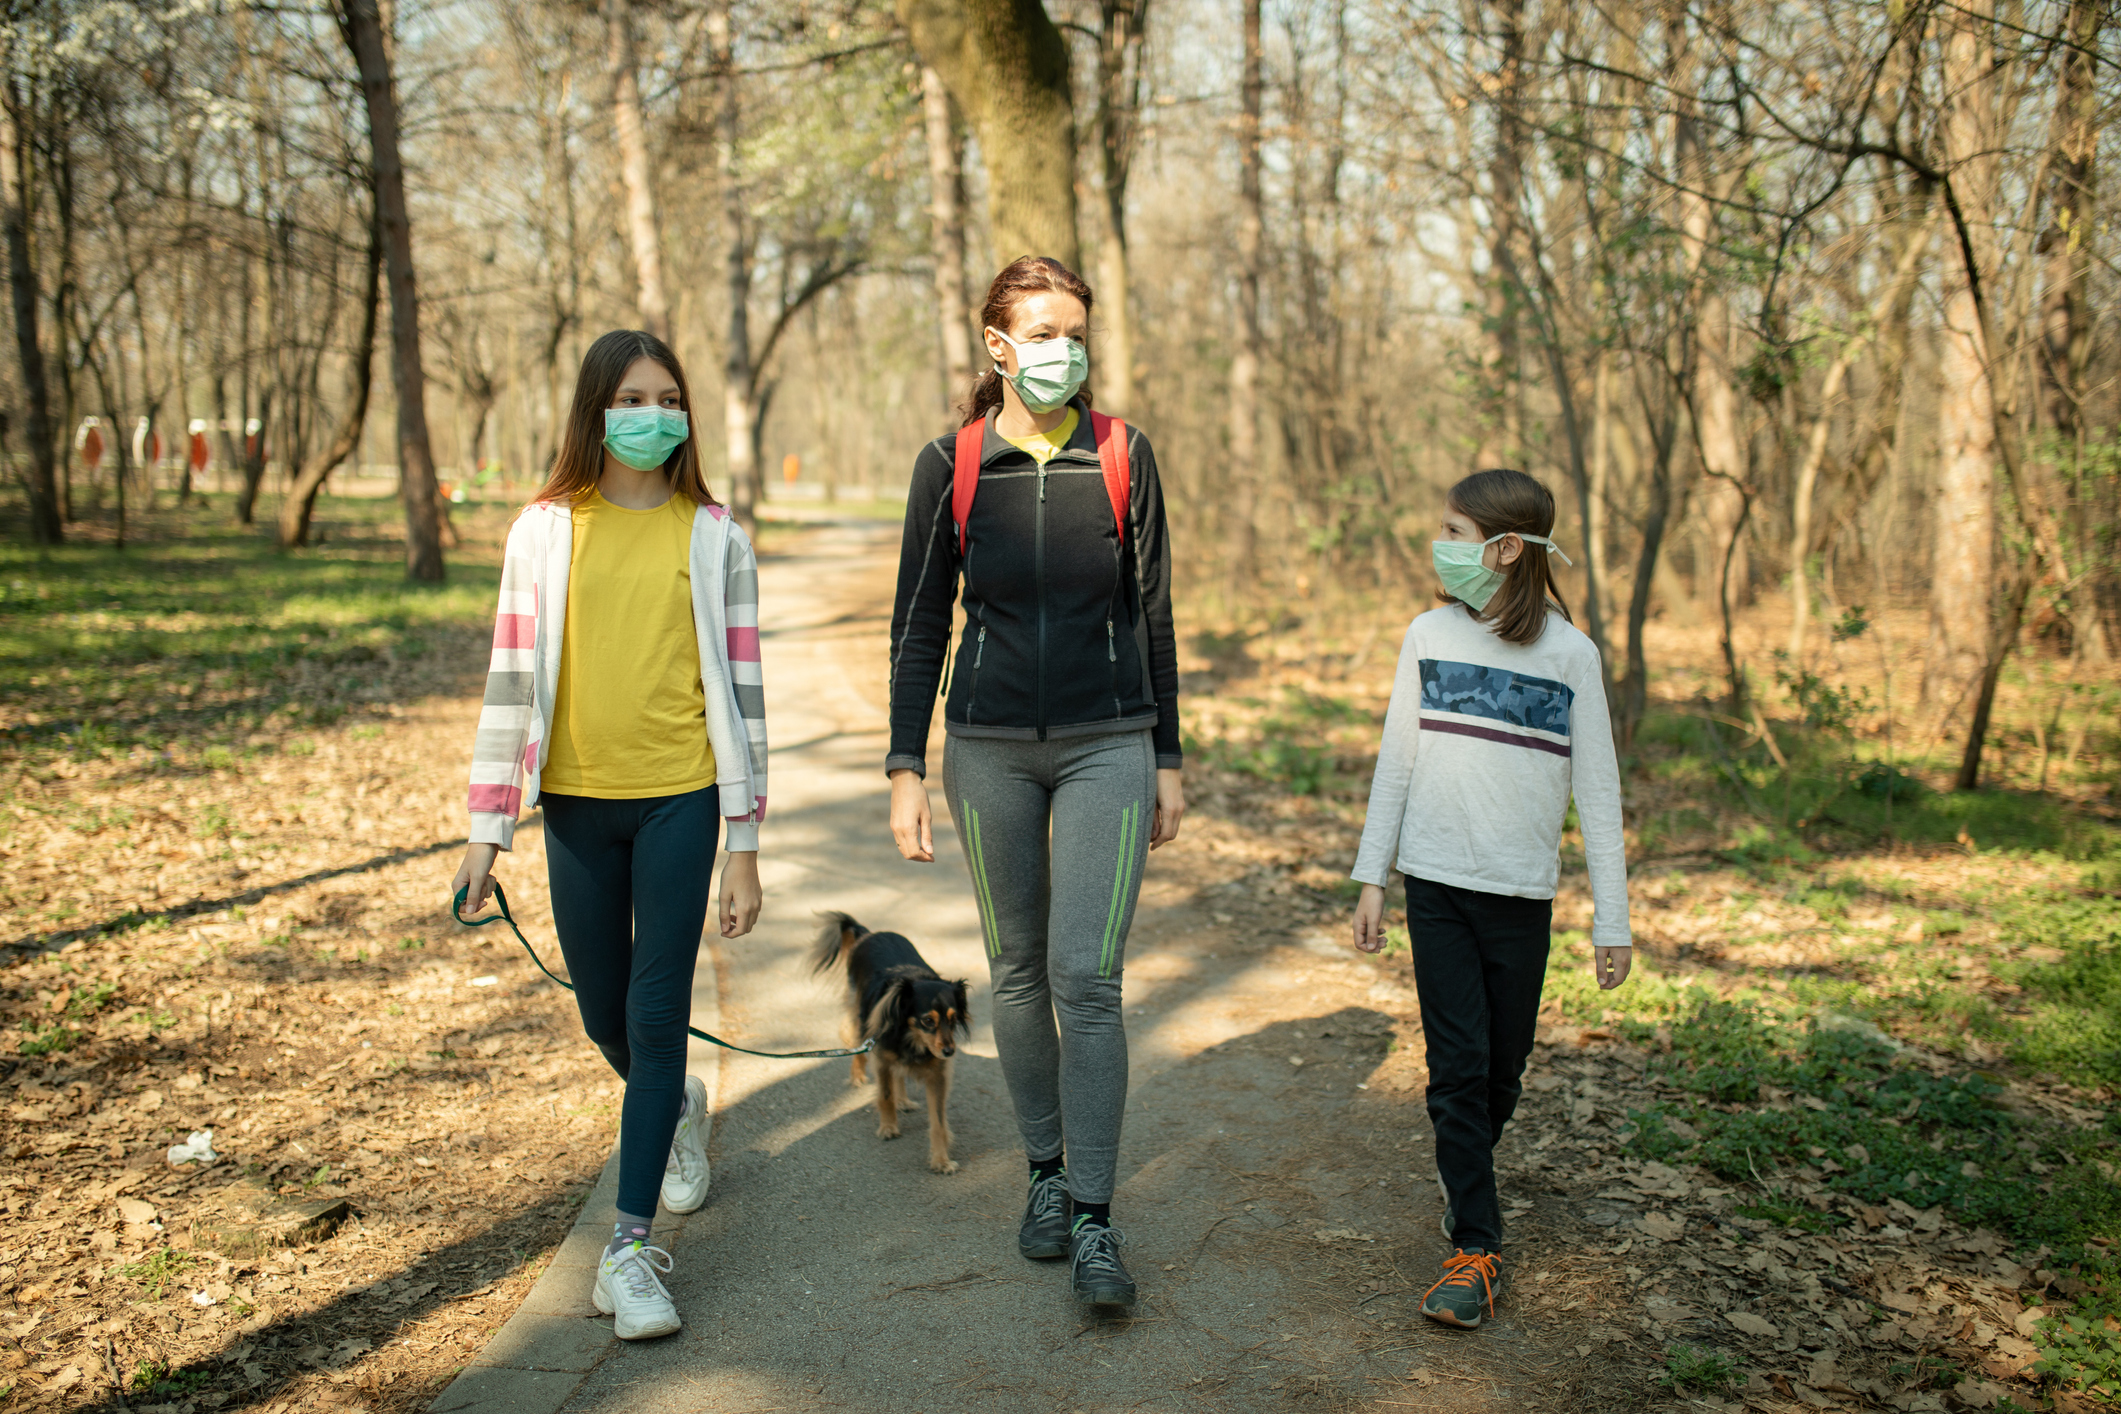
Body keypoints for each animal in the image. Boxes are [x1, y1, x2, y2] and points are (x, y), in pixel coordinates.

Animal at [814, 911, 971, 1178]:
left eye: (952, 1019)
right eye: (928, 1021)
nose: (949, 1052)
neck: (911, 1038)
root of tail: (868, 933)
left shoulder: (937, 1076)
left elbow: (938, 1121)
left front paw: (941, 1160)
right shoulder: (882, 1059)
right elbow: (885, 1095)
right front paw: (888, 1128)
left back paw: (903, 1100)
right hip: (859, 1017)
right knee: (857, 1048)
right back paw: (858, 1076)